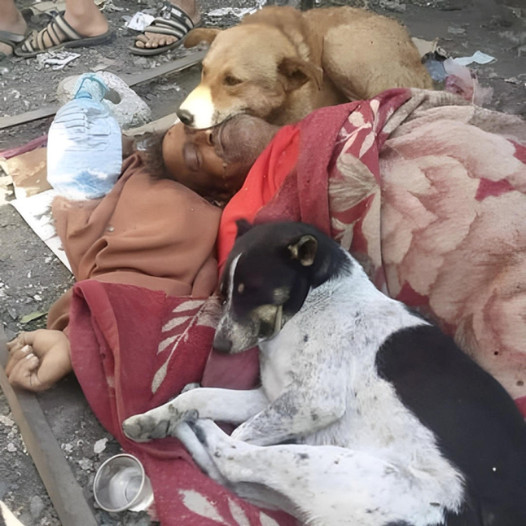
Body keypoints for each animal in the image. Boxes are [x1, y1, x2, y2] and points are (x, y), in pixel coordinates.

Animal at [125, 221, 526, 524]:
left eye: (251, 292)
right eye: (224, 294)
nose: (220, 347)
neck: (315, 300)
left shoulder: (314, 401)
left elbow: (238, 430)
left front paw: (184, 416)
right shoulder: (272, 395)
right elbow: (202, 395)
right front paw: (155, 417)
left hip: (339, 468)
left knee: (231, 457)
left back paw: (201, 427)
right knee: (229, 473)